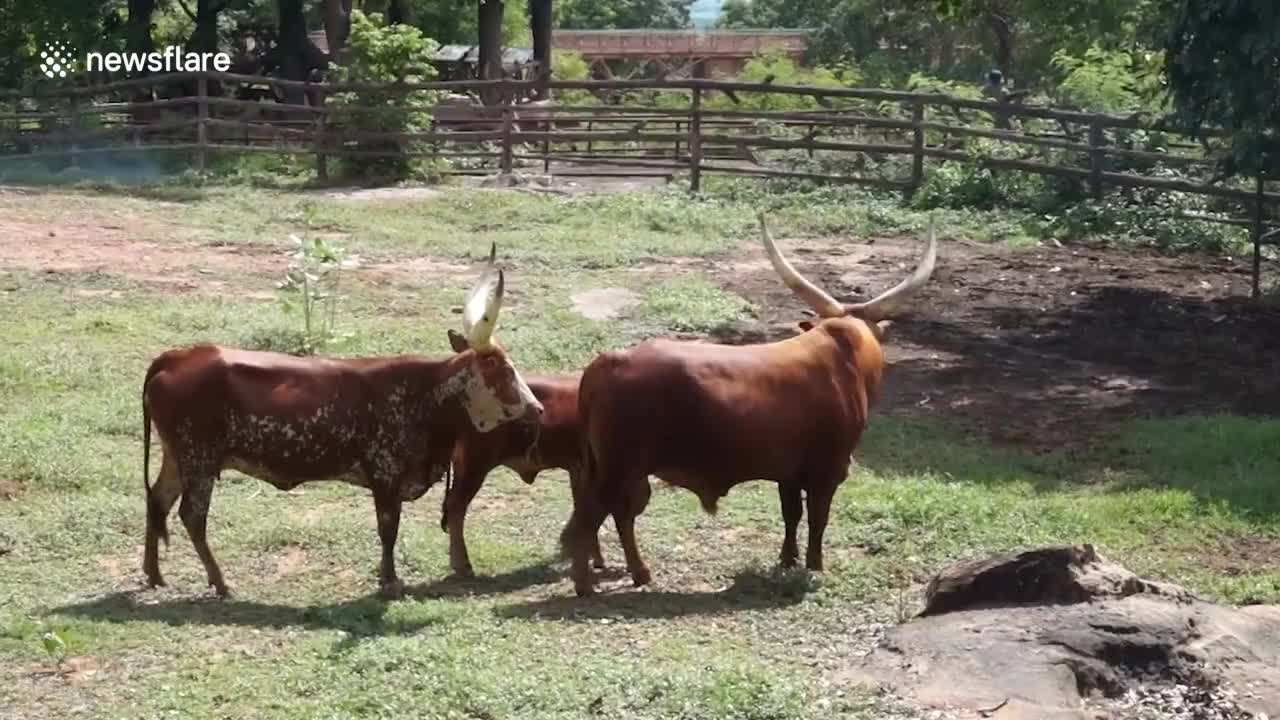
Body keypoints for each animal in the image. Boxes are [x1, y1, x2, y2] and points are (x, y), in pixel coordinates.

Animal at [145, 257, 545, 594]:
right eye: (500, 368)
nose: (537, 408)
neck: (426, 394)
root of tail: (177, 357)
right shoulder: (385, 476)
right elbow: (388, 529)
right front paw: (390, 581)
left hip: (177, 457)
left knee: (157, 499)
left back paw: (154, 574)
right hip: (198, 459)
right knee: (192, 516)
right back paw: (220, 582)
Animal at [565, 211, 936, 594]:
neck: (846, 354)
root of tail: (608, 360)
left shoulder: (789, 471)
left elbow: (791, 514)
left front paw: (787, 559)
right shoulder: (827, 471)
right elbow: (818, 519)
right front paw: (814, 566)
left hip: (615, 470)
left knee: (612, 516)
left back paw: (636, 573)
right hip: (616, 470)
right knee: (594, 518)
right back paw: (590, 583)